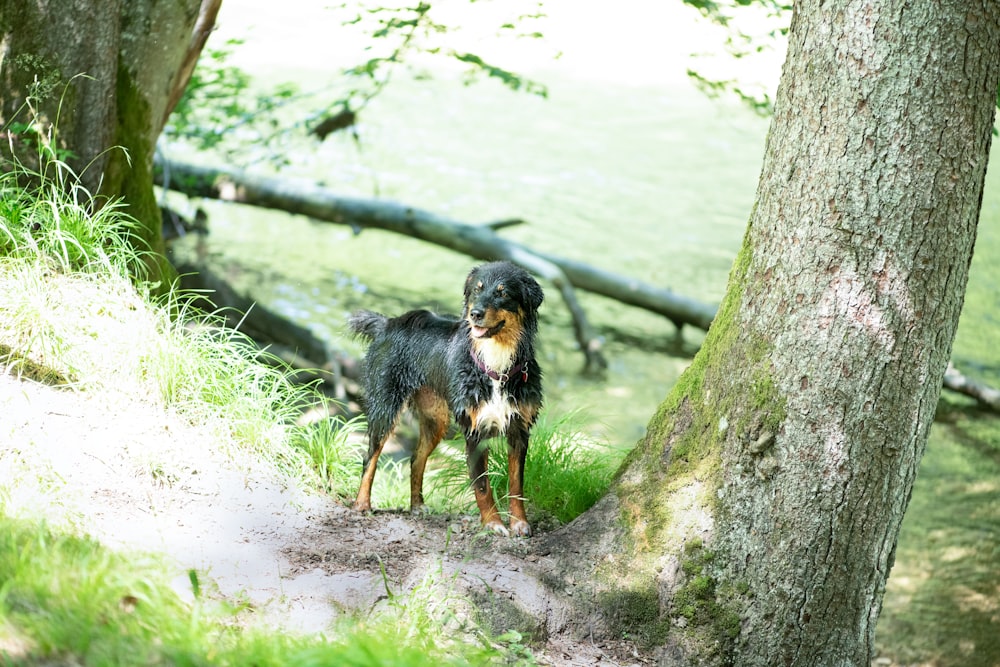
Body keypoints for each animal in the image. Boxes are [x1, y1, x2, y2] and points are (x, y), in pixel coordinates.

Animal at [348, 260, 544, 536]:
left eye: (503, 293)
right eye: (477, 289)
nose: (475, 314)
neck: (496, 363)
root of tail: (387, 323)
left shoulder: (519, 429)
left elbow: (517, 485)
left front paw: (519, 523)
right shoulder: (475, 431)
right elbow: (482, 486)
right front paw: (493, 524)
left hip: (435, 419)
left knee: (416, 458)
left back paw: (417, 506)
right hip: (386, 406)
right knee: (370, 457)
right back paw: (362, 504)